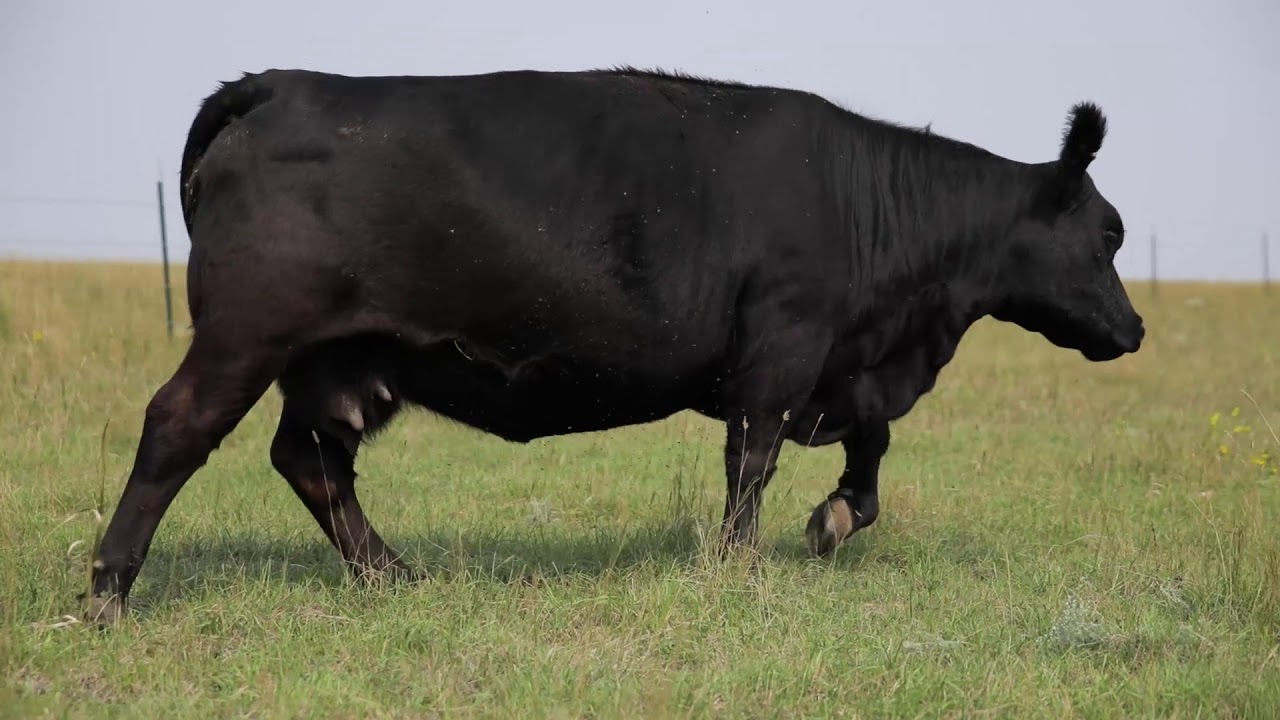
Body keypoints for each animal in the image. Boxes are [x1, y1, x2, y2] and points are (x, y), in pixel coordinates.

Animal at [83, 66, 1144, 624]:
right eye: (1109, 233)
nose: (1134, 329)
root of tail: (282, 84)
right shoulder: (785, 348)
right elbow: (751, 464)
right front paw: (741, 565)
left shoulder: (842, 367)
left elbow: (870, 444)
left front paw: (835, 518)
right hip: (246, 336)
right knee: (176, 429)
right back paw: (107, 592)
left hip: (341, 362)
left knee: (310, 458)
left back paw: (393, 573)